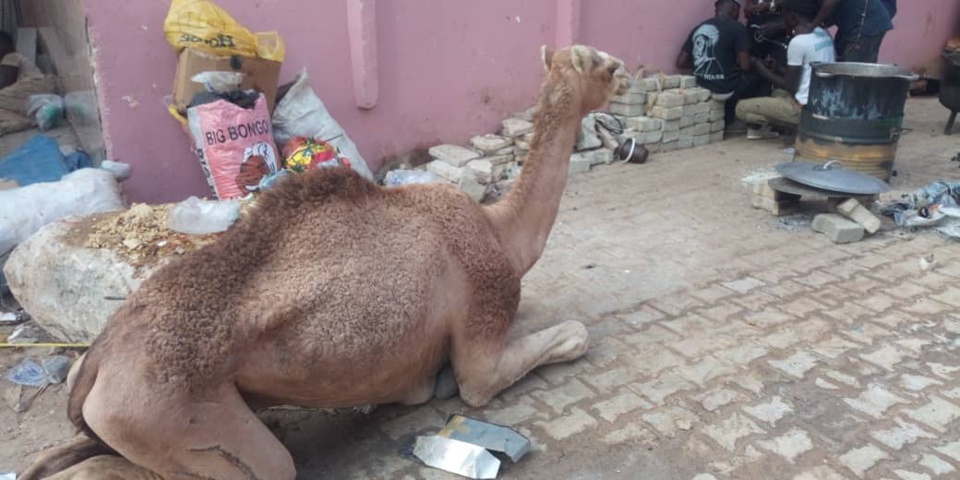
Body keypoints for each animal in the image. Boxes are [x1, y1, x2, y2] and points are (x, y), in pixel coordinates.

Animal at [19, 44, 630, 480]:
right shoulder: (484, 322)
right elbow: (558, 343)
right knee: (261, 463)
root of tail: (98, 359)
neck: (500, 231)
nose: (626, 75)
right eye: (604, 63)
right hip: (165, 416)